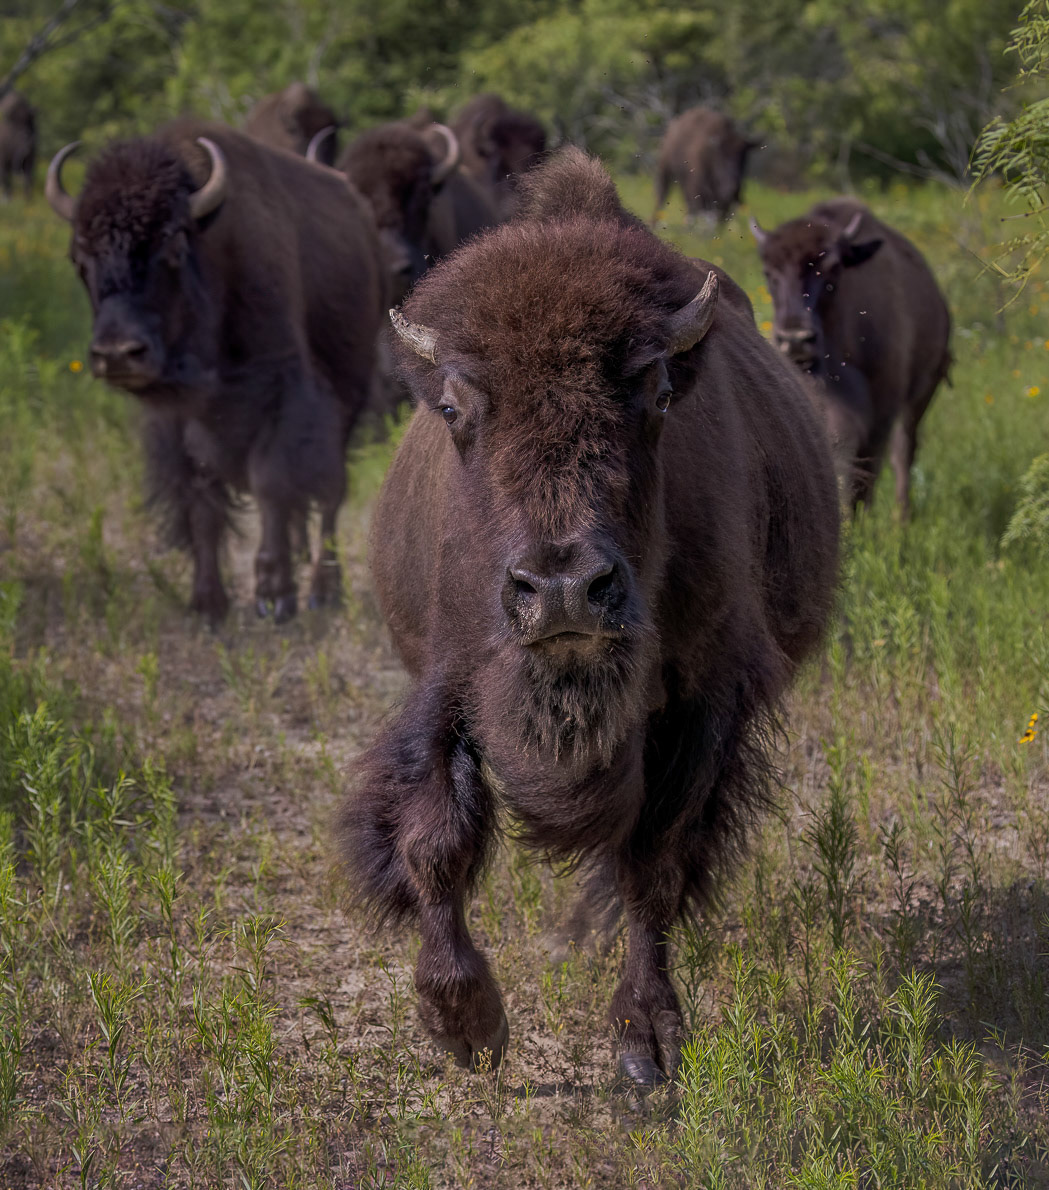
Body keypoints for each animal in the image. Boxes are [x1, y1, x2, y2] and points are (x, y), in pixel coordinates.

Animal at [45, 118, 386, 622]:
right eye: (79, 259)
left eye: (172, 245)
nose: (118, 353)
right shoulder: (178, 424)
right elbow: (201, 502)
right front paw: (207, 603)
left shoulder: (282, 397)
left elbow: (271, 485)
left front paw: (274, 596)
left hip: (349, 399)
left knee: (330, 495)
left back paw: (324, 591)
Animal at [337, 147, 840, 1087]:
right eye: (453, 407)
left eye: (657, 392)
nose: (565, 588)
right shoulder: (449, 680)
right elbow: (434, 839)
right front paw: (465, 1025)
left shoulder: (702, 703)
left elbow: (654, 861)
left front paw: (646, 1043)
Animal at [750, 198, 951, 514]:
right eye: (769, 272)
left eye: (833, 268)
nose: (795, 340)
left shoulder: (882, 407)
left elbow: (864, 471)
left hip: (922, 392)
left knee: (903, 453)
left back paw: (901, 517)